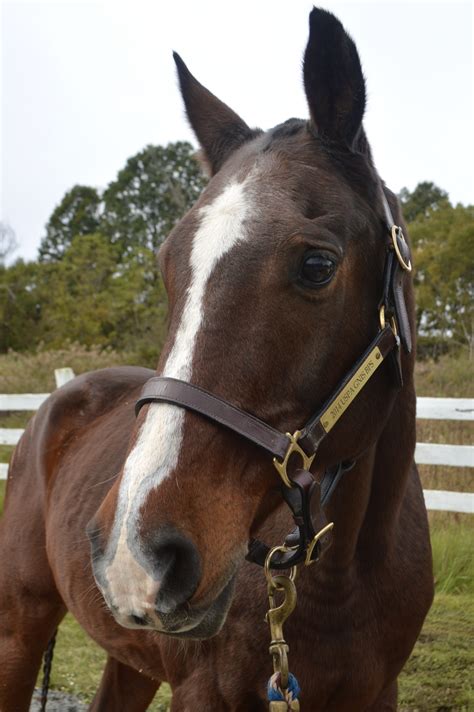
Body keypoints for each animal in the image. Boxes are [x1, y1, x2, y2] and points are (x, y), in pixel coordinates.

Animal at [0, 6, 434, 712]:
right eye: (166, 264)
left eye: (318, 265)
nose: (136, 555)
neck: (344, 581)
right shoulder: (202, 692)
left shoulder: (379, 693)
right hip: (21, 622)